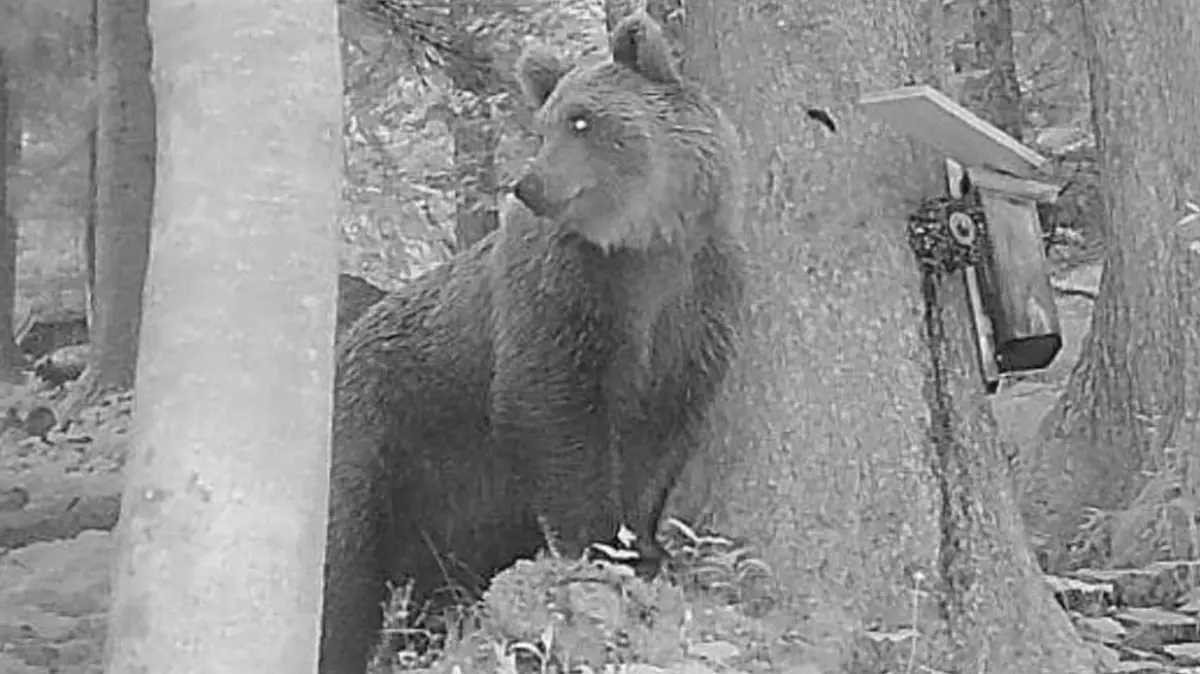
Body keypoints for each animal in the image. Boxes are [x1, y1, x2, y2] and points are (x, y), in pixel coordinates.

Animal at [319, 12, 746, 674]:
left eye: (582, 120)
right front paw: (600, 544)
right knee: (346, 572)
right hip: (381, 440)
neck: (645, 245)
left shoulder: (695, 304)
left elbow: (664, 430)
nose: (531, 183)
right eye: (545, 126)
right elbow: (555, 409)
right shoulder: (565, 296)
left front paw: (646, 546)